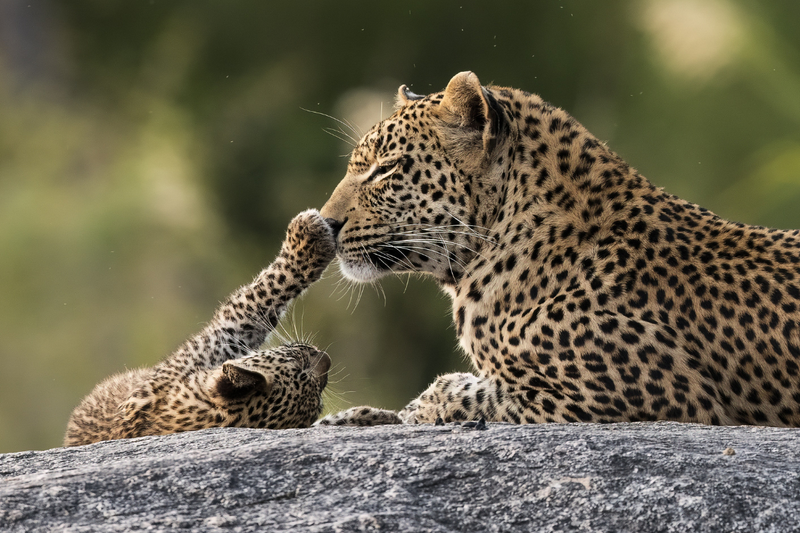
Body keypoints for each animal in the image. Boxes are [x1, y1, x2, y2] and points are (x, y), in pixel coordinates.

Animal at [65, 209, 336, 446]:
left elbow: (257, 299)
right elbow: (258, 298)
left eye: (319, 402)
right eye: (298, 360)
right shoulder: (219, 341)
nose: (326, 357)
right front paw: (308, 240)